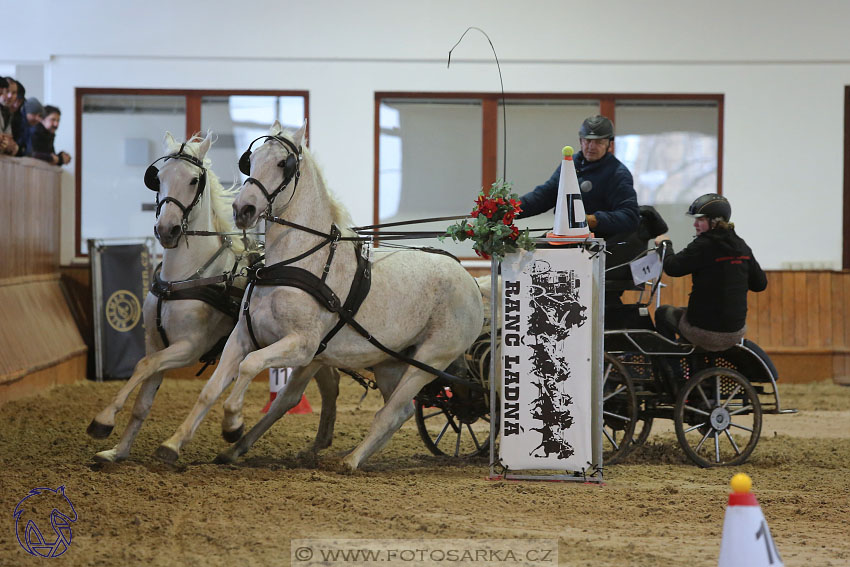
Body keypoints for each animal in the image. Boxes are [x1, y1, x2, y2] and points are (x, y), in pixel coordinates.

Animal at [86, 131, 338, 464]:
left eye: (194, 180)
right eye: (158, 177)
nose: (166, 230)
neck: (183, 277)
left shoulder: (189, 347)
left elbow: (143, 365)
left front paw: (104, 419)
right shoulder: (157, 342)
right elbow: (143, 396)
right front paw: (117, 450)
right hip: (319, 353)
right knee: (330, 385)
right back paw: (318, 443)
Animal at [154, 121, 484, 470]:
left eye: (283, 164)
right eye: (250, 160)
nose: (243, 209)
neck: (290, 264)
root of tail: (471, 280)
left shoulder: (303, 346)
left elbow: (250, 366)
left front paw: (232, 424)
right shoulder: (241, 336)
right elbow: (211, 388)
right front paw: (173, 444)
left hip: (429, 359)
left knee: (390, 412)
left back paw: (349, 460)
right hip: (388, 361)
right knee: (401, 410)